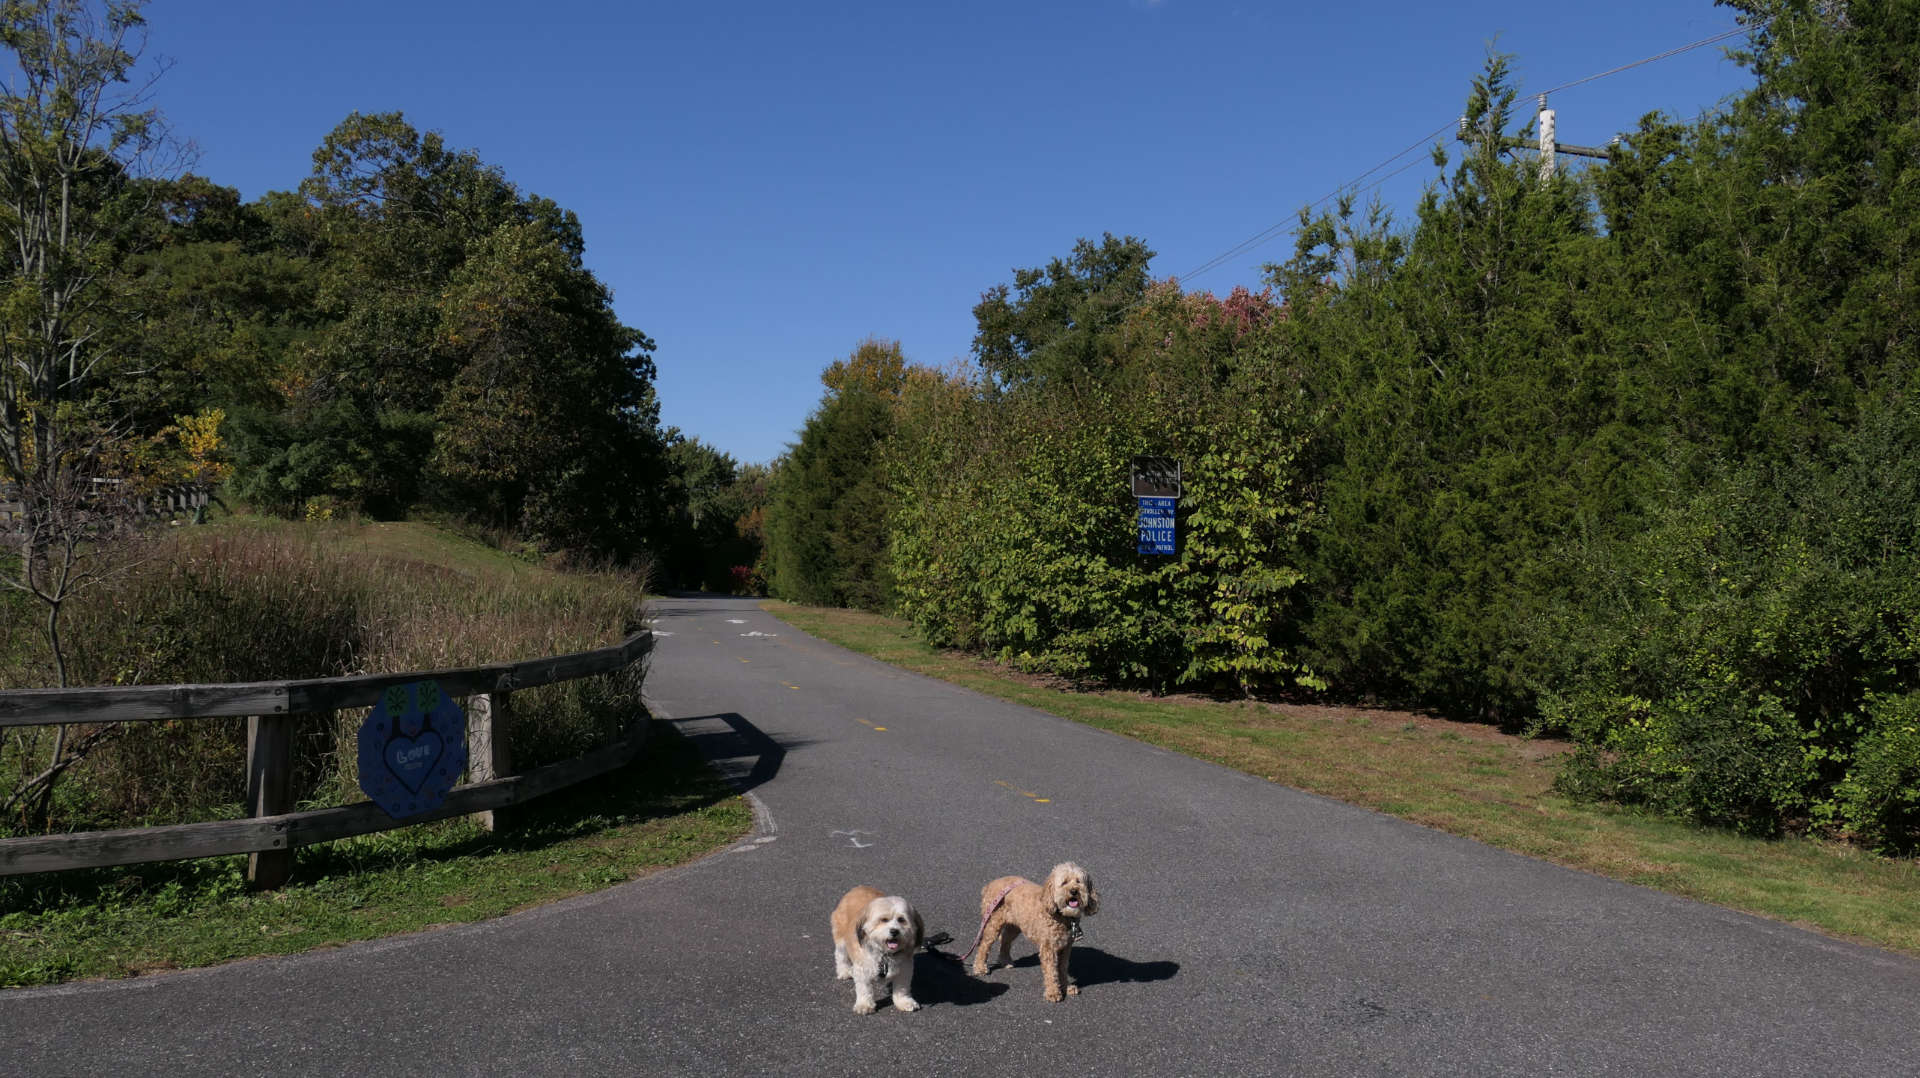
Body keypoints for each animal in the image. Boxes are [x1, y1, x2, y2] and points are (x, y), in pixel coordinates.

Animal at [967, 857, 1105, 999]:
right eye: (1064, 882)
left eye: (1078, 881)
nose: (1074, 891)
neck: (1061, 915)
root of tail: (991, 884)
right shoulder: (1049, 948)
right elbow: (1051, 971)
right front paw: (1053, 992)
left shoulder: (1066, 947)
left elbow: (1062, 968)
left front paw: (1066, 987)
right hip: (993, 922)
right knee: (984, 945)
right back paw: (980, 967)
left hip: (1015, 925)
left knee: (1005, 940)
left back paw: (1005, 961)